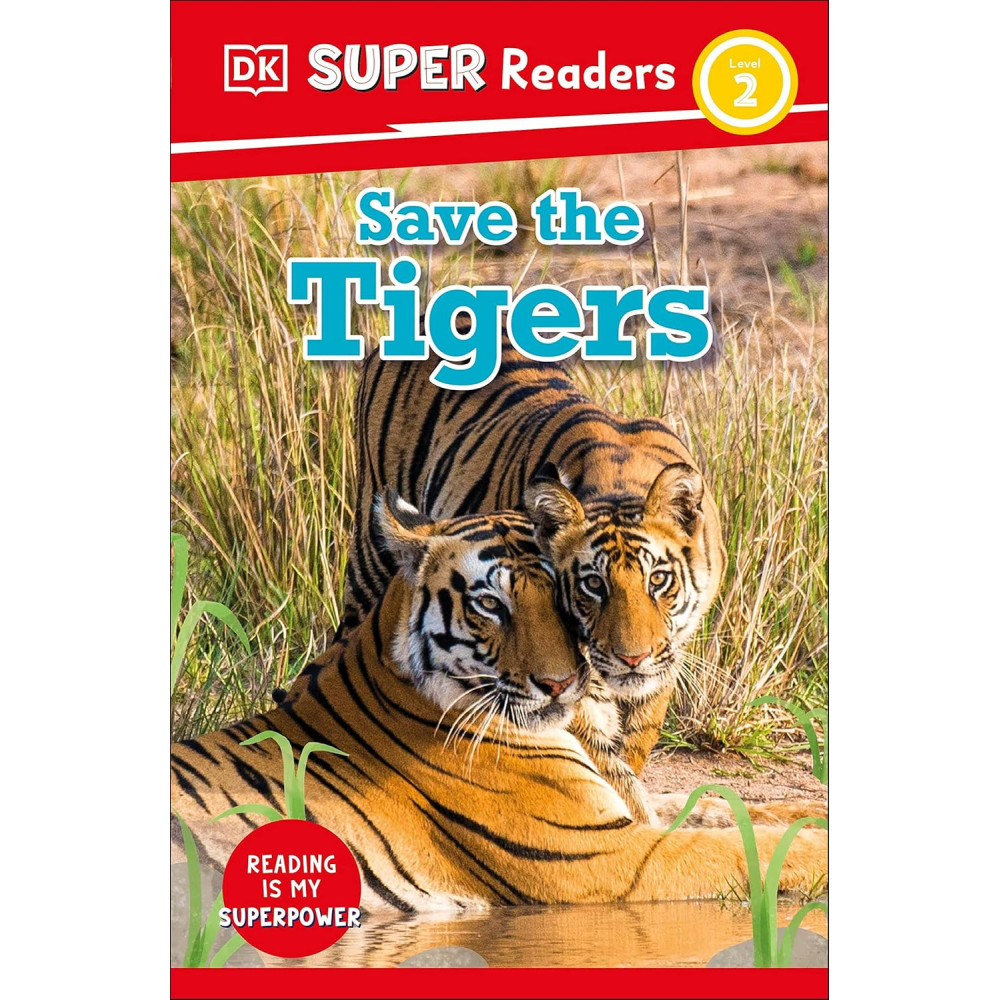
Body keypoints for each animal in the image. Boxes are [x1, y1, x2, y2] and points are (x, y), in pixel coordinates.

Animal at [173, 496, 826, 913]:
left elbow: (732, 808)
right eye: (491, 604)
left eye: (566, 595)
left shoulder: (629, 811)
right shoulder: (603, 855)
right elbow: (751, 847)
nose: (560, 683)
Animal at [329, 338, 725, 821]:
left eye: (658, 580)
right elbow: (609, 772)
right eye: (593, 585)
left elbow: (633, 746)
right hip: (372, 554)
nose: (632, 658)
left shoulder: (664, 661)